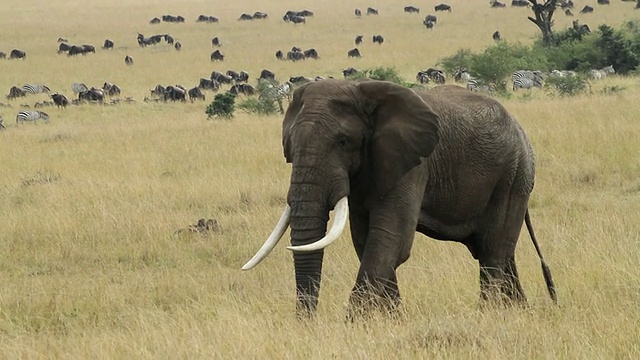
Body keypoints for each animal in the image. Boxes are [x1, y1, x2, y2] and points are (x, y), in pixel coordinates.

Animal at [244, 79, 556, 318]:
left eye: (343, 142)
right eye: (290, 147)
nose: (307, 321)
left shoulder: (413, 165)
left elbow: (391, 239)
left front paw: (355, 322)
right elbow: (366, 241)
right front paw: (392, 318)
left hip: (514, 175)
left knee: (493, 250)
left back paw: (491, 314)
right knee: (500, 252)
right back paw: (518, 311)